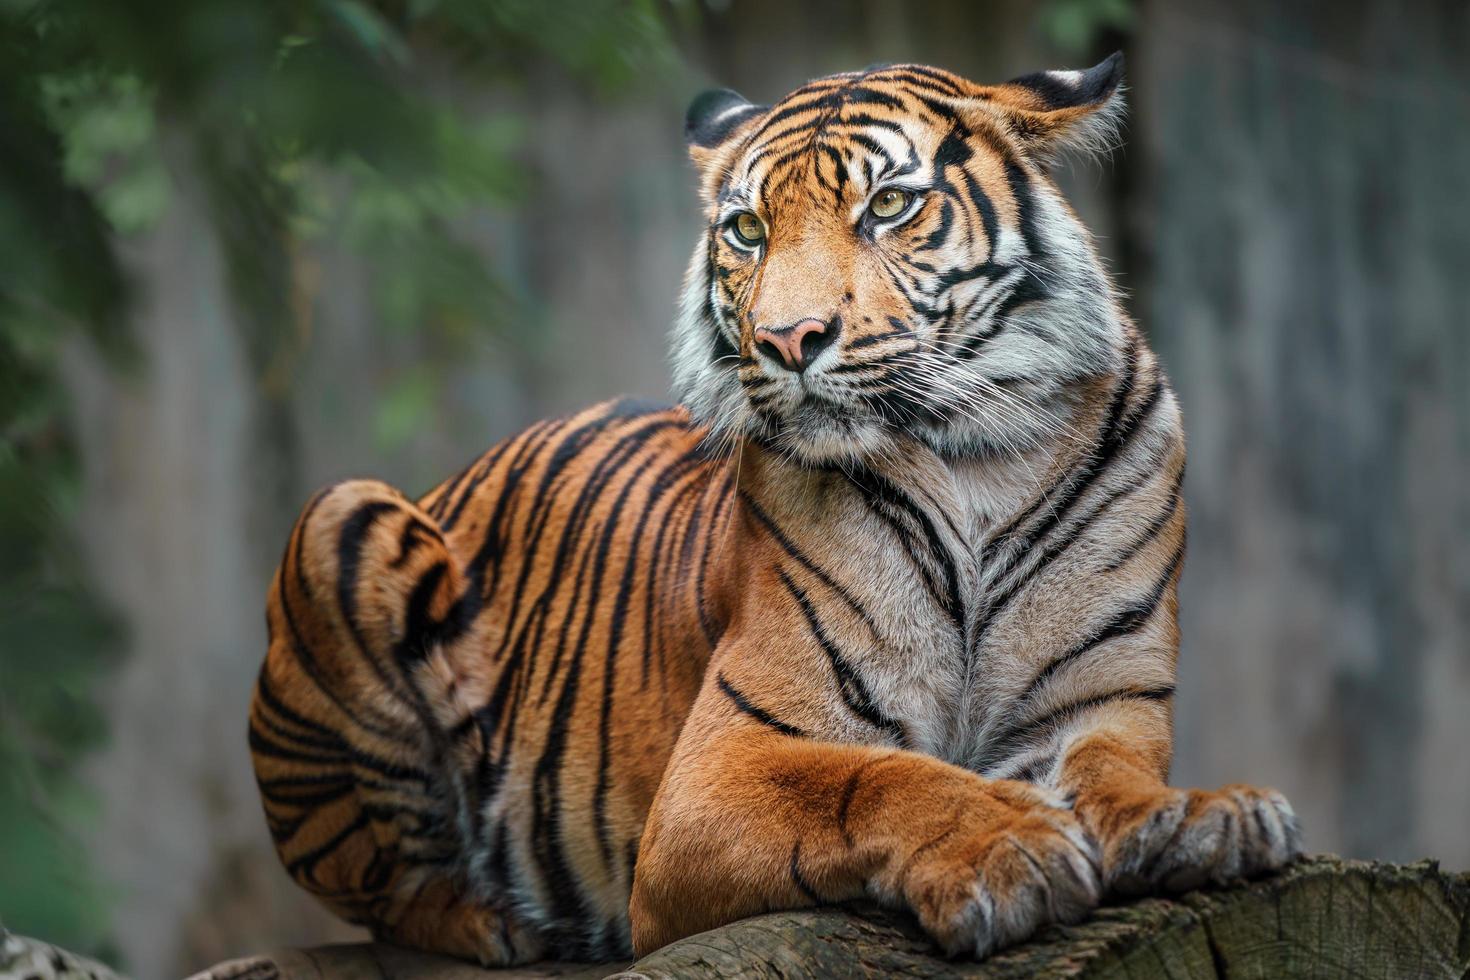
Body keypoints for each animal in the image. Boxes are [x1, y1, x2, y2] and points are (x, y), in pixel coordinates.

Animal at [249, 55, 1299, 963]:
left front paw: (1205, 817)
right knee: (381, 888)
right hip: (346, 518)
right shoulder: (719, 770)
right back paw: (500, 924)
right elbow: (876, 780)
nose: (787, 338)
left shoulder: (1101, 703)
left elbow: (1116, 776)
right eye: (747, 230)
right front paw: (1010, 844)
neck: (978, 458)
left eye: (889, 205)